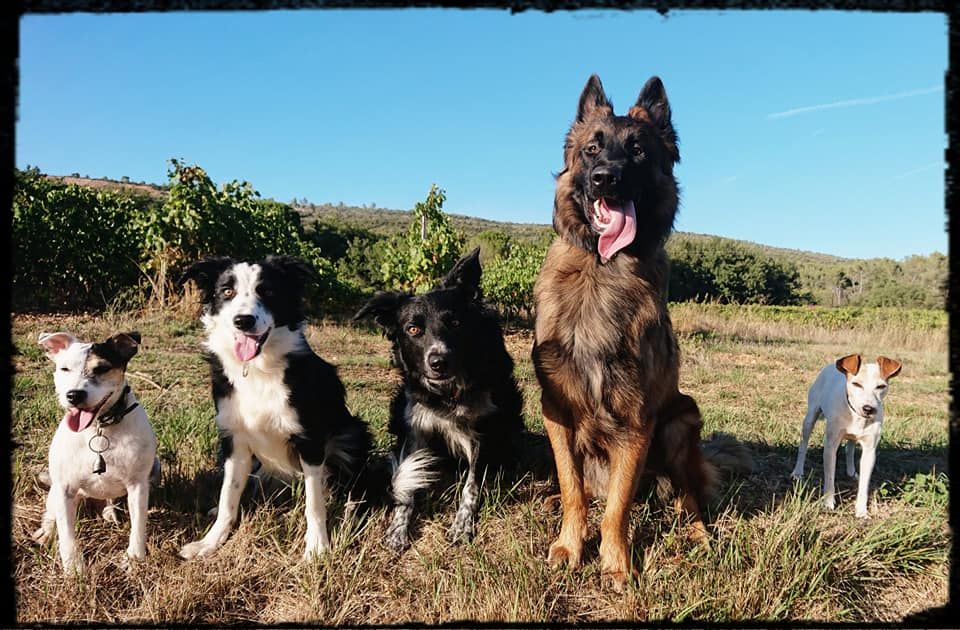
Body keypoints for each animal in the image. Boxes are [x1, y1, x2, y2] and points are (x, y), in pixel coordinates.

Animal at [32, 334, 158, 576]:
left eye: (102, 368)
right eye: (64, 368)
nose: (74, 395)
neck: (99, 428)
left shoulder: (138, 485)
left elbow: (138, 526)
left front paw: (134, 559)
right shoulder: (64, 488)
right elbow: (67, 535)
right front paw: (74, 569)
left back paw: (109, 511)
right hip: (58, 490)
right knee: (52, 511)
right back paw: (46, 530)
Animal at [178, 254, 374, 560]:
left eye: (267, 291)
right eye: (227, 291)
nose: (243, 321)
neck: (258, 369)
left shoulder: (310, 441)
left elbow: (314, 504)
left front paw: (317, 547)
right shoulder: (234, 439)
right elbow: (228, 495)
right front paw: (210, 541)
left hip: (352, 433)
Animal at [352, 249, 520, 552]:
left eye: (455, 323)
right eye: (413, 329)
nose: (439, 362)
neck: (448, 395)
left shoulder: (483, 431)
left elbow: (471, 484)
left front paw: (462, 525)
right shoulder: (415, 428)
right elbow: (406, 485)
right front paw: (398, 529)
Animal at [532, 74, 744, 592]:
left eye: (638, 152)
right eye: (592, 149)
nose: (606, 178)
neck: (601, 267)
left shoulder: (637, 420)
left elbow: (617, 506)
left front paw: (615, 564)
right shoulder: (556, 409)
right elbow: (574, 488)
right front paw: (570, 546)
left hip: (681, 422)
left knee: (689, 499)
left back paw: (700, 537)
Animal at [788, 356, 900, 520]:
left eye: (881, 386)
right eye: (856, 384)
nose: (868, 408)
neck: (856, 416)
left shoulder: (870, 451)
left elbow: (864, 484)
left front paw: (861, 510)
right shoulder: (830, 445)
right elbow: (829, 477)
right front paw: (828, 503)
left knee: (849, 448)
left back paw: (851, 472)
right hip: (810, 417)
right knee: (803, 444)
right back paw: (797, 472)